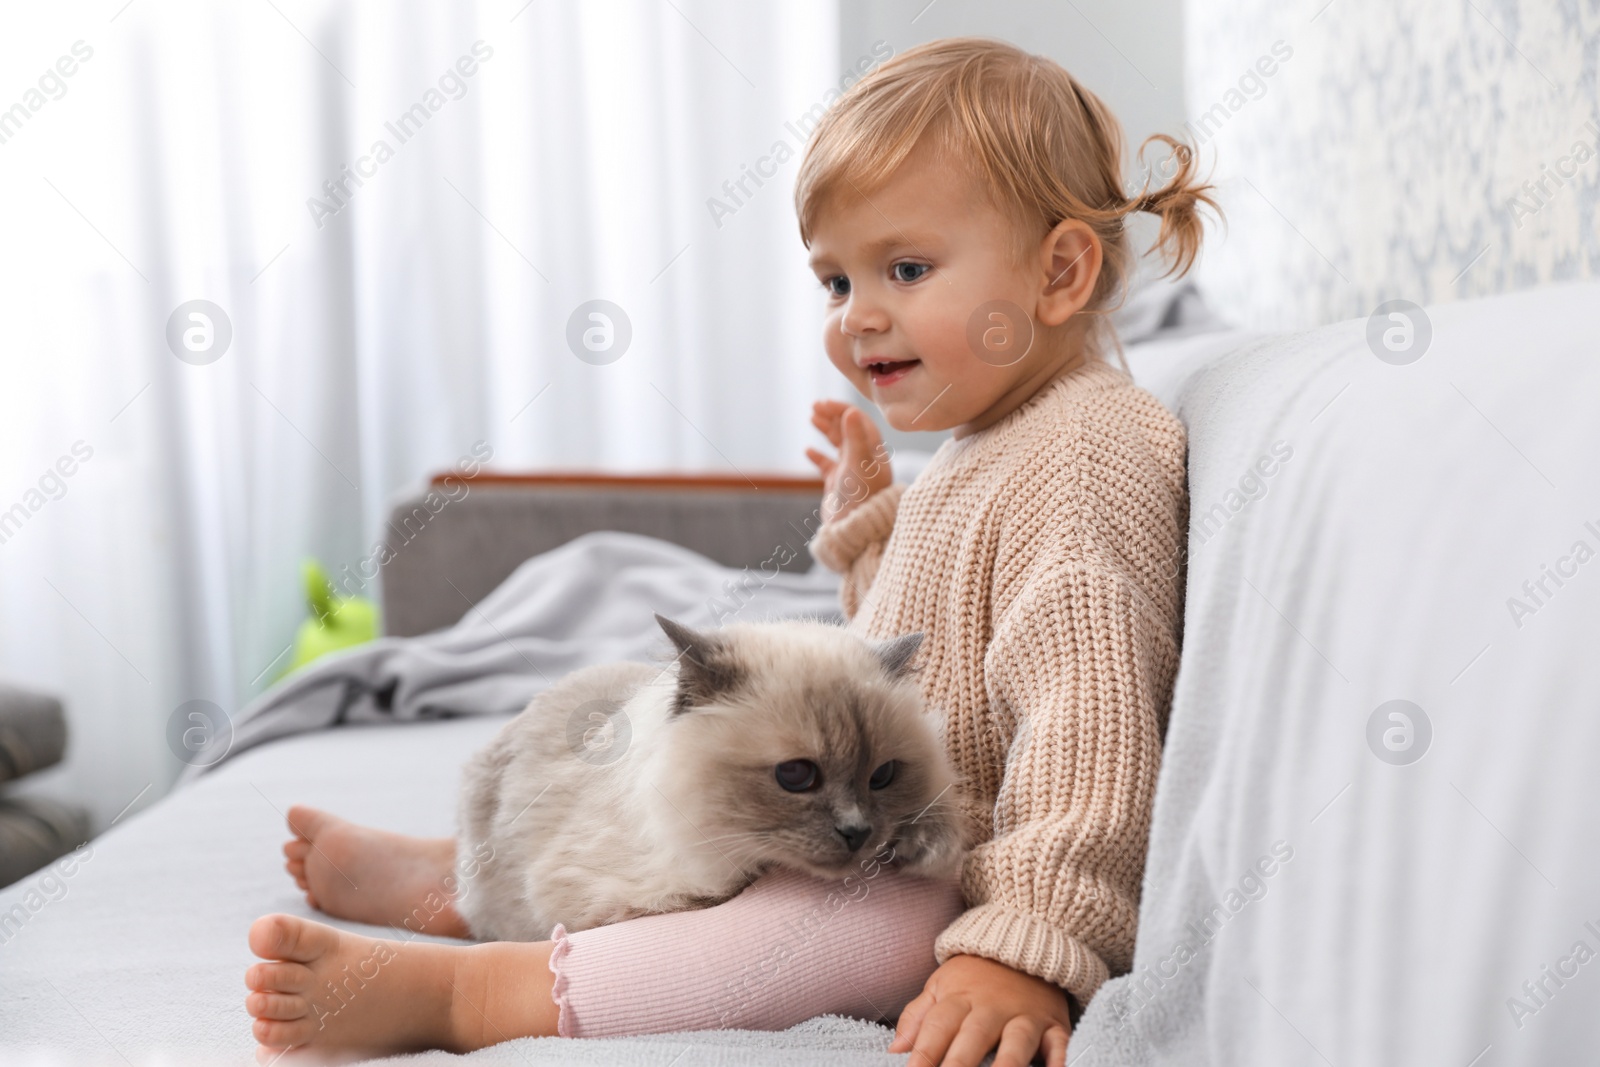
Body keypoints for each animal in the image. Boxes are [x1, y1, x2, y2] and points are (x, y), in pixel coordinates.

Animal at [457, 614, 966, 940]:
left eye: (882, 776)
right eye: (796, 775)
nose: (857, 833)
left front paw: (923, 844)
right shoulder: (598, 894)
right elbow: (715, 892)